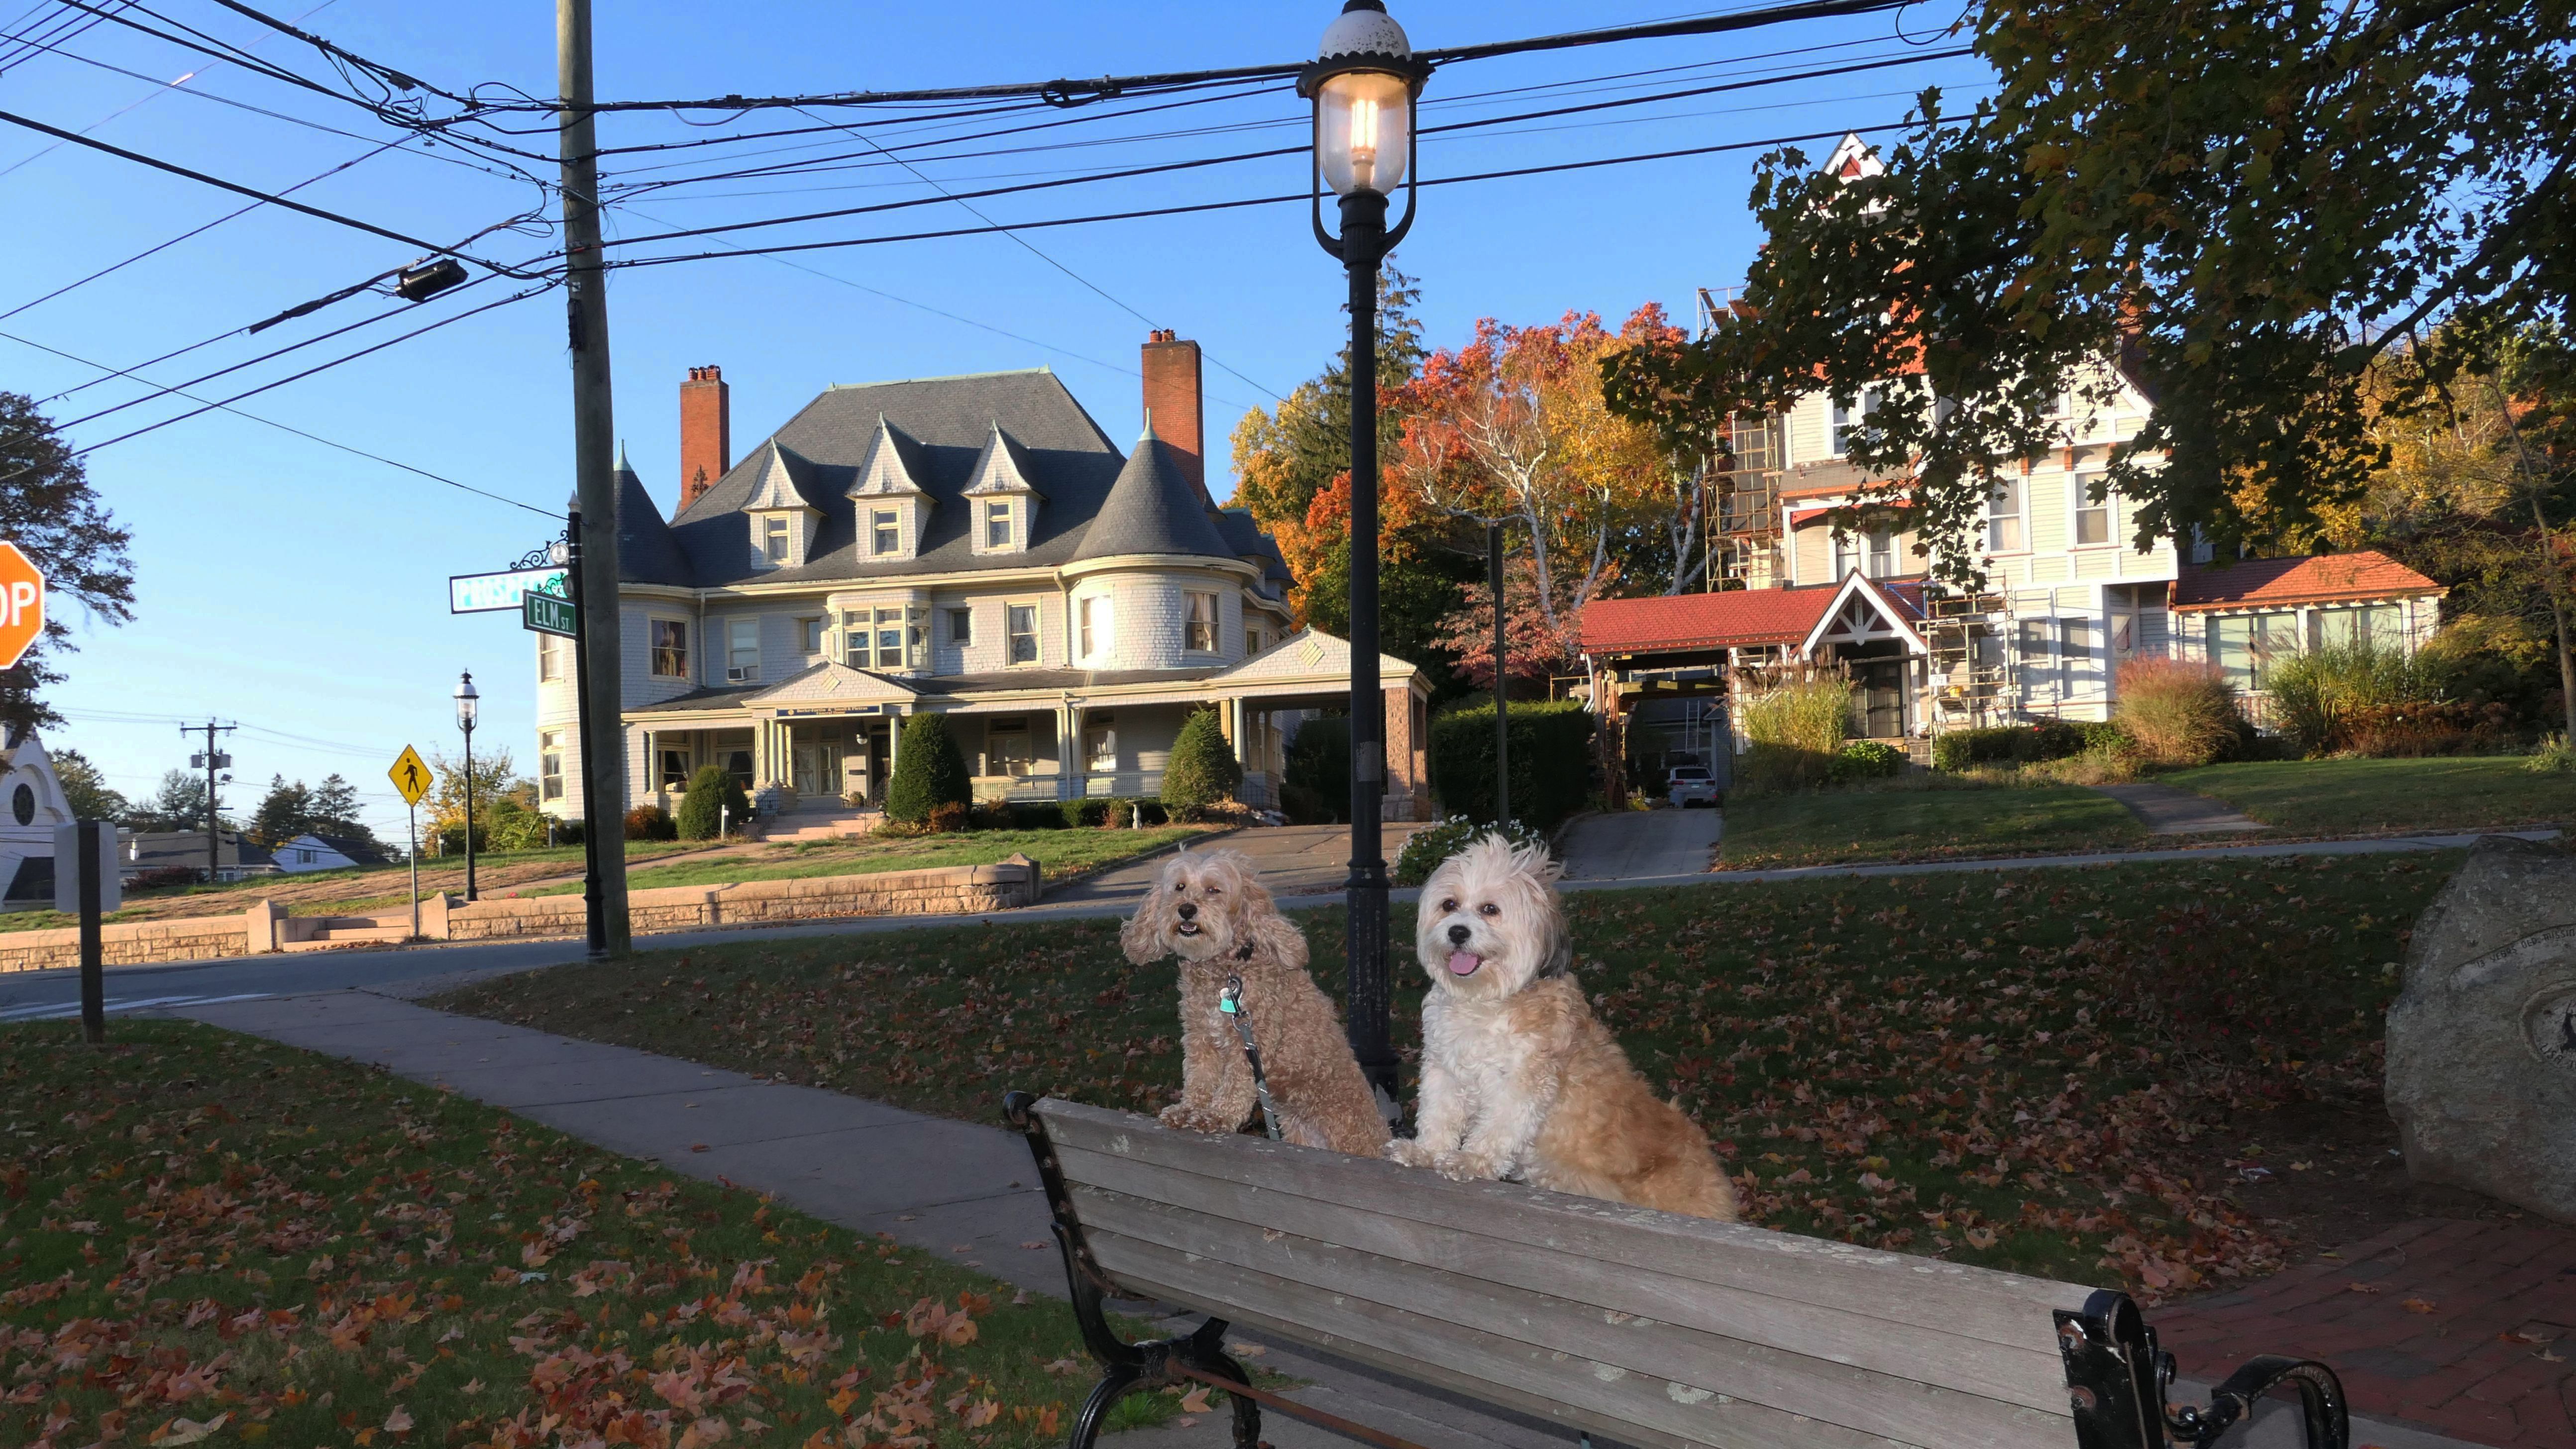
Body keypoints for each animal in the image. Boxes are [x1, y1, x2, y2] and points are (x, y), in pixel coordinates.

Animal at [1120, 848, 1388, 1157]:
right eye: (1180, 887)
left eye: (1214, 890)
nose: (1186, 909)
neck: (1226, 973)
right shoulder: (1200, 1038)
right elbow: (1199, 1077)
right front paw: (1188, 1109)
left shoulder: (1252, 1040)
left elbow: (1236, 1084)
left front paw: (1217, 1116)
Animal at [1389, 833, 1739, 1220]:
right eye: (1449, 904)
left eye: (1490, 910)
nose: (1457, 932)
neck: (1486, 1000)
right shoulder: (1444, 1069)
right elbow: (1439, 1114)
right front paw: (1426, 1152)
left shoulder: (1523, 1081)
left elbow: (1497, 1128)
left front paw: (1472, 1160)